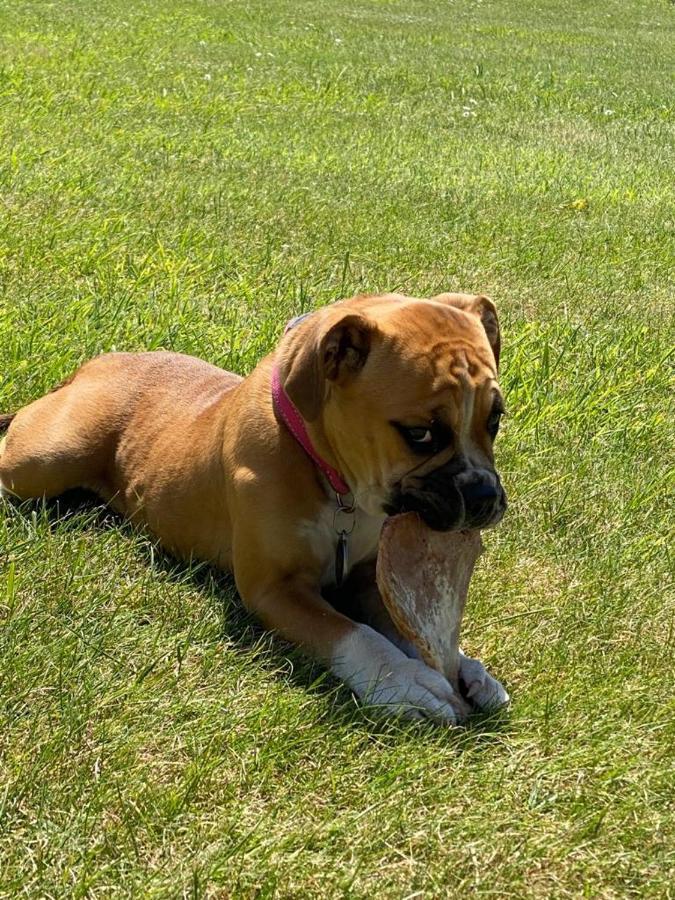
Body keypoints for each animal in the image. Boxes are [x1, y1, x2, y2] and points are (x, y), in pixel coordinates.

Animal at [0, 296, 508, 724]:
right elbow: (353, 633)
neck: (333, 479)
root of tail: (95, 364)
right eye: (420, 434)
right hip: (44, 461)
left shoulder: (369, 577)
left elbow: (406, 626)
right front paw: (401, 680)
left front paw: (467, 667)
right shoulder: (275, 590)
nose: (484, 497)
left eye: (495, 419)